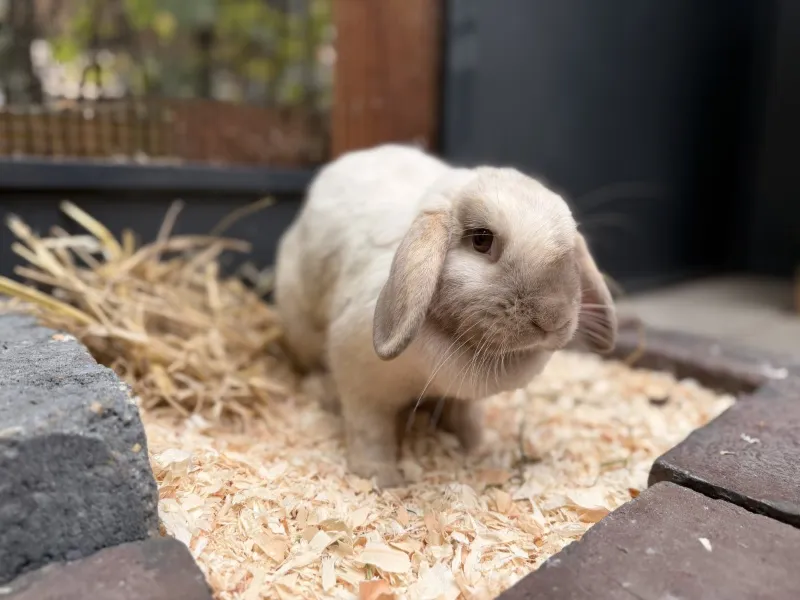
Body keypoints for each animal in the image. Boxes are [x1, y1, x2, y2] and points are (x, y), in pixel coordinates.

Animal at [274, 144, 617, 487]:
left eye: (569, 253)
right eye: (481, 239)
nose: (552, 318)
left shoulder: (464, 399)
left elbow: (466, 418)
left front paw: (476, 447)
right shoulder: (361, 385)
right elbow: (370, 432)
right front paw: (380, 477)